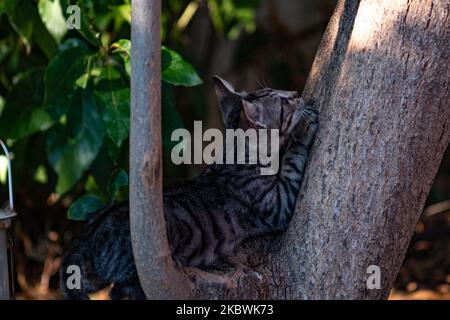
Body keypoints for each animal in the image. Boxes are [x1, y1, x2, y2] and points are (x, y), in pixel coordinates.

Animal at [59, 76, 318, 298]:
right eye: (285, 103)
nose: (296, 93)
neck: (235, 154)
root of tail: (82, 243)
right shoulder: (279, 204)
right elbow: (293, 158)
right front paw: (306, 127)